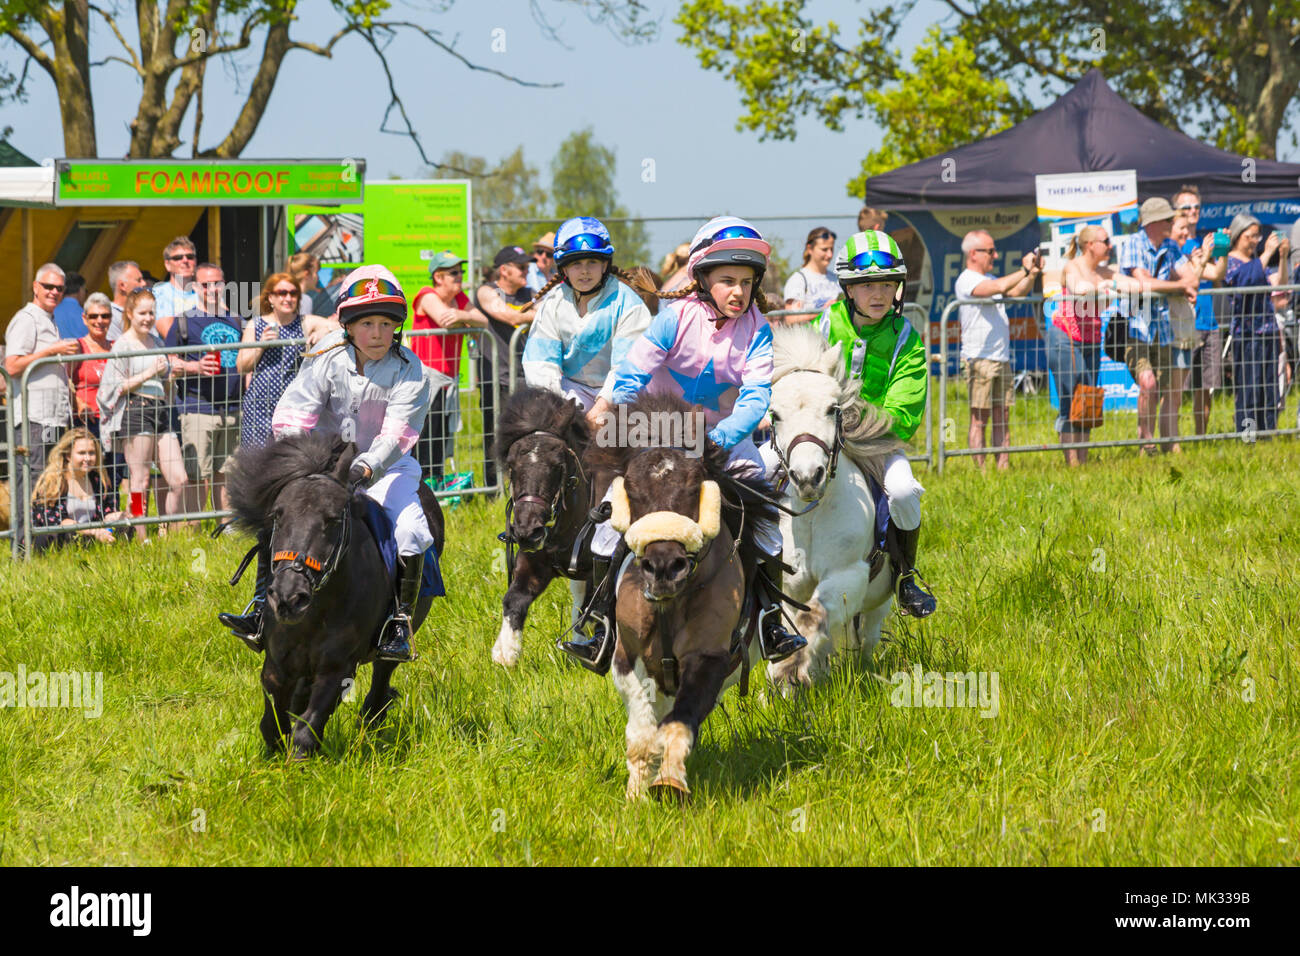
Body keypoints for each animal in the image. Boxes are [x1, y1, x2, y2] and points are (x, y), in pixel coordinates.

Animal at [226, 431, 444, 754]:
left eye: (332, 519)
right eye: (277, 515)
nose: (290, 598)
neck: (317, 611)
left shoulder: (338, 668)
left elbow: (306, 731)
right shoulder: (277, 664)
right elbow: (273, 724)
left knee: (381, 678)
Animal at [491, 385, 608, 671]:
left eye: (558, 466)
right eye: (511, 466)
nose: (527, 532)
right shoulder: (534, 563)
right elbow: (515, 598)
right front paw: (505, 653)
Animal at [759, 325, 904, 691]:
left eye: (832, 408)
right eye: (775, 415)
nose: (808, 476)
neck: (813, 515)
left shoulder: (847, 574)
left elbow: (814, 618)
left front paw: (789, 671)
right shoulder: (793, 584)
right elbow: (797, 624)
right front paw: (785, 680)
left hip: (879, 602)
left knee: (865, 638)